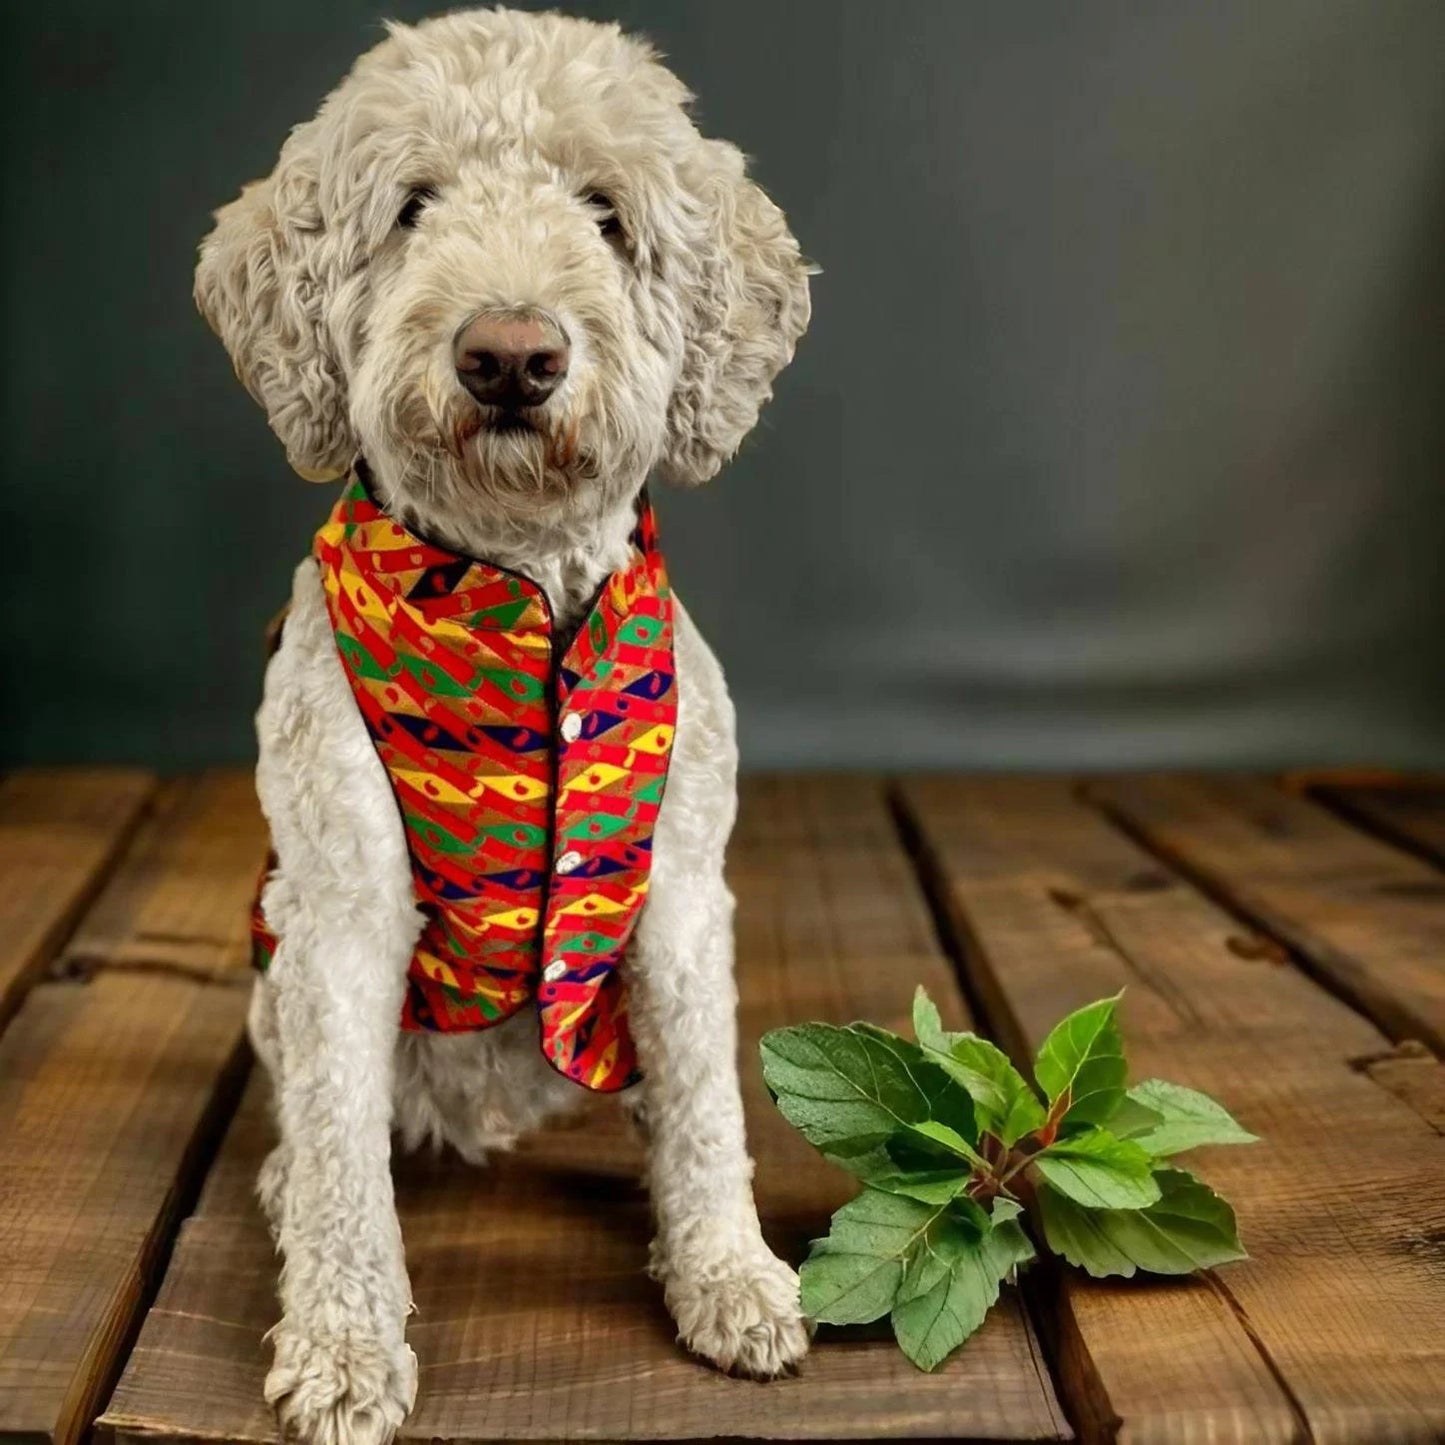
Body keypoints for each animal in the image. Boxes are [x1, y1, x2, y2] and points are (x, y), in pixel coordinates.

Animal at [195, 11, 814, 1445]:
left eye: (605, 213)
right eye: (412, 207)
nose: (512, 355)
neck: (514, 584)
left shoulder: (681, 897)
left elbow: (706, 1112)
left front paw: (728, 1274)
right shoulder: (339, 912)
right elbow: (342, 1162)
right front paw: (343, 1343)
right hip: (272, 976)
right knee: (320, 1121)